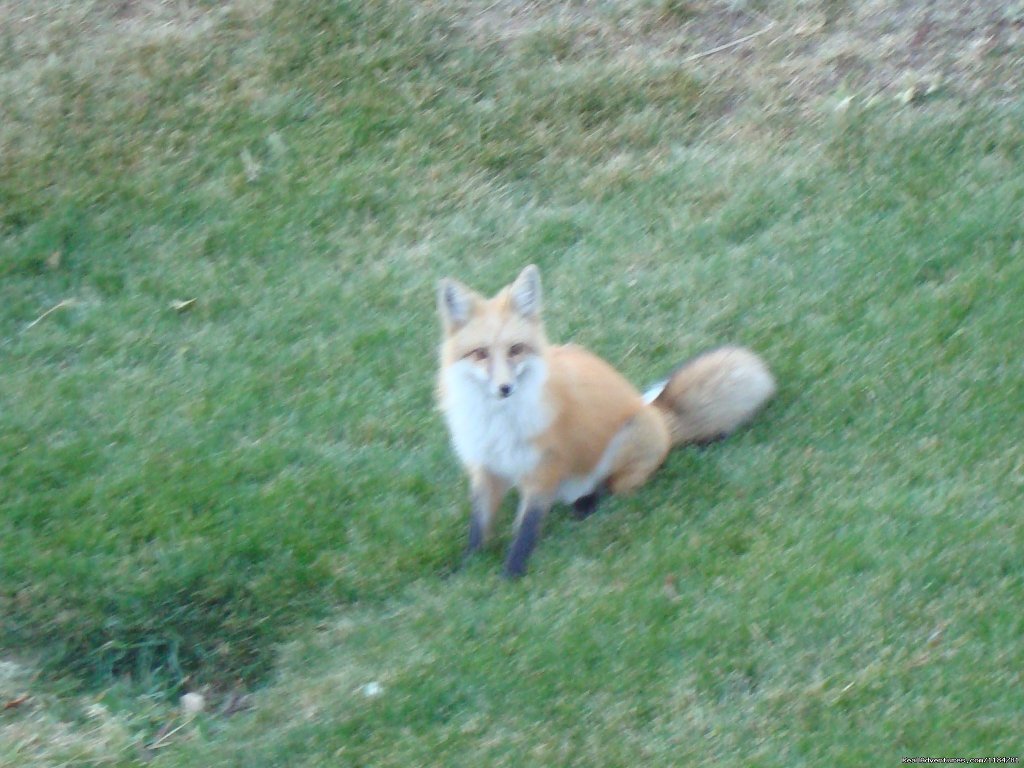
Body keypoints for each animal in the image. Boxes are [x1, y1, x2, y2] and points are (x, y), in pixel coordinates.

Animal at [434, 264, 774, 577]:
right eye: (480, 353)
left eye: (515, 349)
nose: (505, 388)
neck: (497, 422)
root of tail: (657, 414)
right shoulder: (484, 466)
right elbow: (478, 526)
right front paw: (468, 570)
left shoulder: (544, 468)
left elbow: (526, 530)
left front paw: (511, 576)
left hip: (621, 448)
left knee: (606, 487)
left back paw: (587, 504)